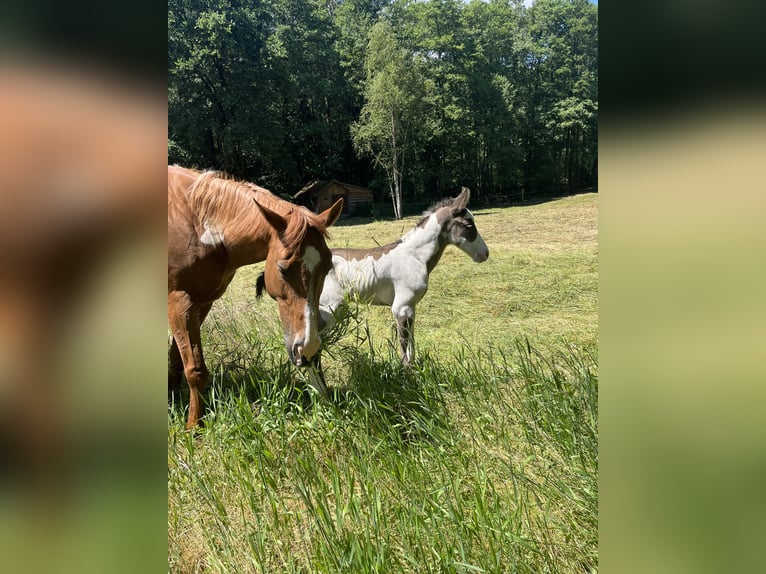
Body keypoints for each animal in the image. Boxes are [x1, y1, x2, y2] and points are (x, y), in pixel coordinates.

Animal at [172, 164, 346, 430]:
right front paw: (193, 427)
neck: (197, 223)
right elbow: (195, 369)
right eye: (282, 269)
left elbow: (176, 361)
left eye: (327, 268)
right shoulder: (179, 302)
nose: (307, 348)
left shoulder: (201, 304)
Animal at [320, 190, 488, 368]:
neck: (415, 256)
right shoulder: (401, 308)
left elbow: (411, 345)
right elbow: (404, 349)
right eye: (468, 226)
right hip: (328, 307)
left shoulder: (411, 307)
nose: (485, 253)